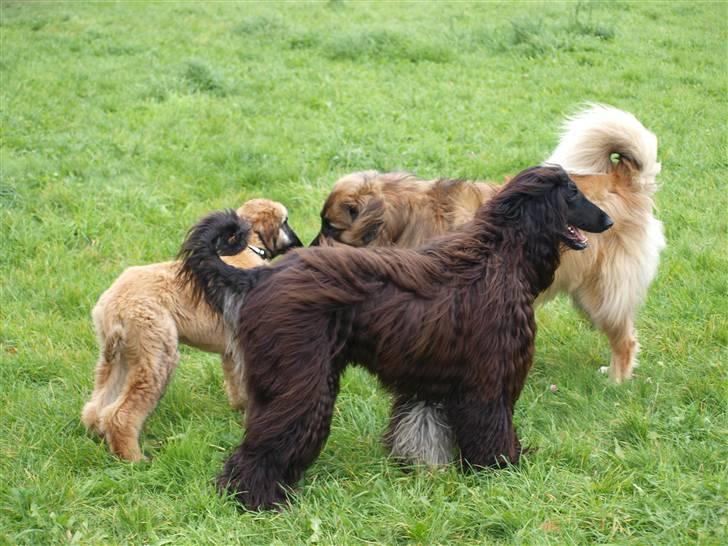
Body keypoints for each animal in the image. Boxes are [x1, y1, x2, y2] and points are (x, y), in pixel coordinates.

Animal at [81, 198, 302, 462]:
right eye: (286, 221)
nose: (299, 244)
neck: (246, 250)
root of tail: (114, 305)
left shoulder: (231, 350)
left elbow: (236, 382)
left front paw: (241, 407)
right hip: (157, 353)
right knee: (120, 414)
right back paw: (133, 458)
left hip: (119, 356)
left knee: (97, 406)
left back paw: (99, 435)